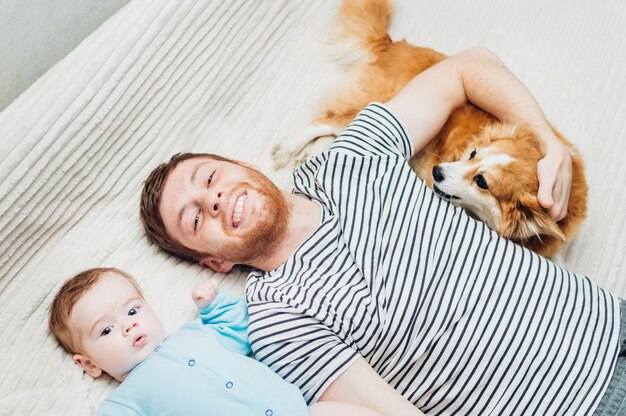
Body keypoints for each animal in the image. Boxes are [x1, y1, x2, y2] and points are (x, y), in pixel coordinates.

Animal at [272, 0, 584, 256]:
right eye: (473, 153)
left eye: (482, 181)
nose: (436, 171)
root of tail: (397, 44)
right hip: (376, 103)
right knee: (325, 120)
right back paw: (287, 149)